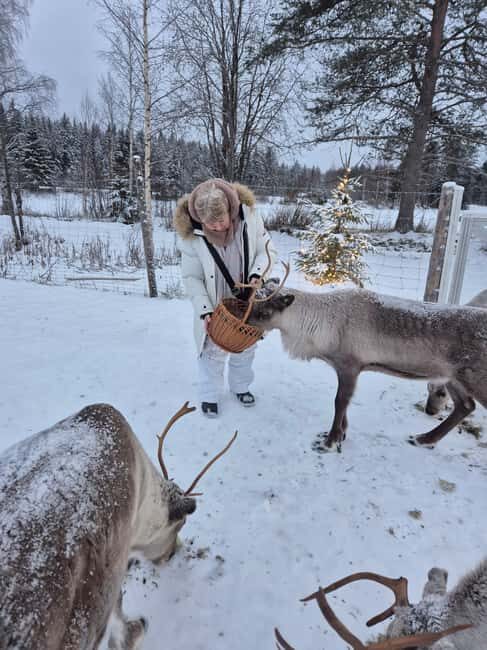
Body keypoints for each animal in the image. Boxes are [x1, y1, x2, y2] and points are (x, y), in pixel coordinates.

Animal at [248, 284, 487, 451]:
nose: (243, 321)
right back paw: (423, 439)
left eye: (265, 313)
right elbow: (345, 404)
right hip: (453, 377)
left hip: (474, 380)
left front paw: (330, 441)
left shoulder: (350, 365)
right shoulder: (347, 368)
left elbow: (340, 401)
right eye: (253, 302)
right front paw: (341, 434)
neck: (318, 324)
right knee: (465, 406)